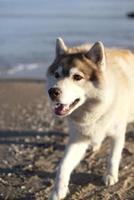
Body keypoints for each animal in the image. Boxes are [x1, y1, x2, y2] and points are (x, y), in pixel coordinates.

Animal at [46, 38, 134, 200]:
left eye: (77, 77)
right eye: (56, 75)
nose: (52, 92)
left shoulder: (117, 134)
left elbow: (113, 156)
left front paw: (110, 176)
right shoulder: (78, 139)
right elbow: (63, 166)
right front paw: (58, 191)